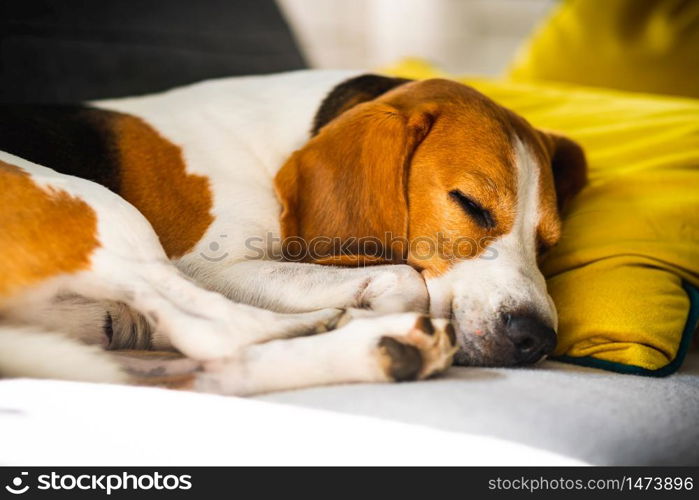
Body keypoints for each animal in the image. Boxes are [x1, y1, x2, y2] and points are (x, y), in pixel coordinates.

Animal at [0, 69, 584, 394]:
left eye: (547, 244)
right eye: (471, 205)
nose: (535, 339)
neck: (285, 137)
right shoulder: (212, 267)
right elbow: (405, 278)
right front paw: (371, 303)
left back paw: (383, 347)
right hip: (102, 213)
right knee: (217, 332)